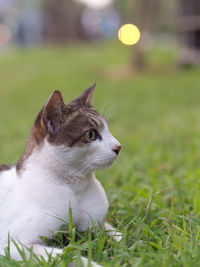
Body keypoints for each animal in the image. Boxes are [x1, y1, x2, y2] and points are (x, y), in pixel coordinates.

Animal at [0, 84, 122, 267]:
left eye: (108, 129)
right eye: (91, 134)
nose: (118, 146)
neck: (75, 188)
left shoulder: (95, 224)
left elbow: (119, 234)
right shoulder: (12, 245)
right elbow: (68, 255)